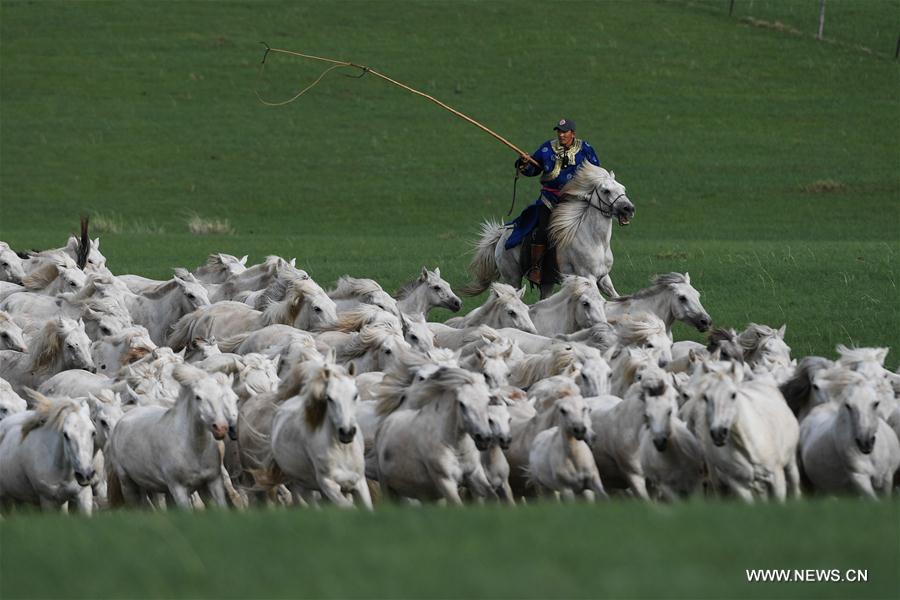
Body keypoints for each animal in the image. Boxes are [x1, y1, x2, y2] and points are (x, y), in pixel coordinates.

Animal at [107, 364, 239, 508]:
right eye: (198, 397)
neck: (194, 449)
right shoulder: (178, 489)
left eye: (221, 396)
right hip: (128, 483)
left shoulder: (213, 482)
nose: (221, 428)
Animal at [460, 163, 636, 298]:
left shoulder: (604, 278)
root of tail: (502, 235)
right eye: (606, 191)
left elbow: (616, 298)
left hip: (546, 282)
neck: (595, 240)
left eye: (622, 188)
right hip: (513, 277)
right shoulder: (588, 277)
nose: (629, 209)